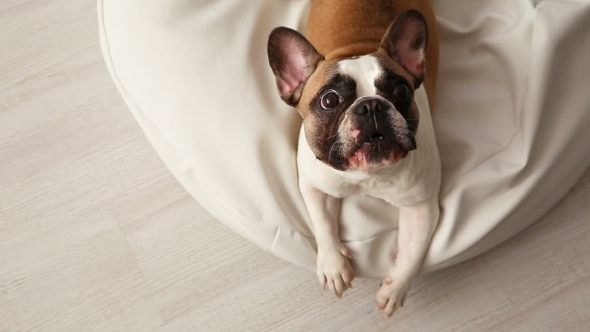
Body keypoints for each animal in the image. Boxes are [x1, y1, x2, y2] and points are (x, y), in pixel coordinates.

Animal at [268, 0, 440, 316]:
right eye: (329, 100)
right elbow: (322, 223)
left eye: (401, 90)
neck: (367, 176)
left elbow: (413, 250)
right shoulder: (315, 186)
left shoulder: (420, 206)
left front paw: (394, 290)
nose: (370, 105)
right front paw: (333, 266)